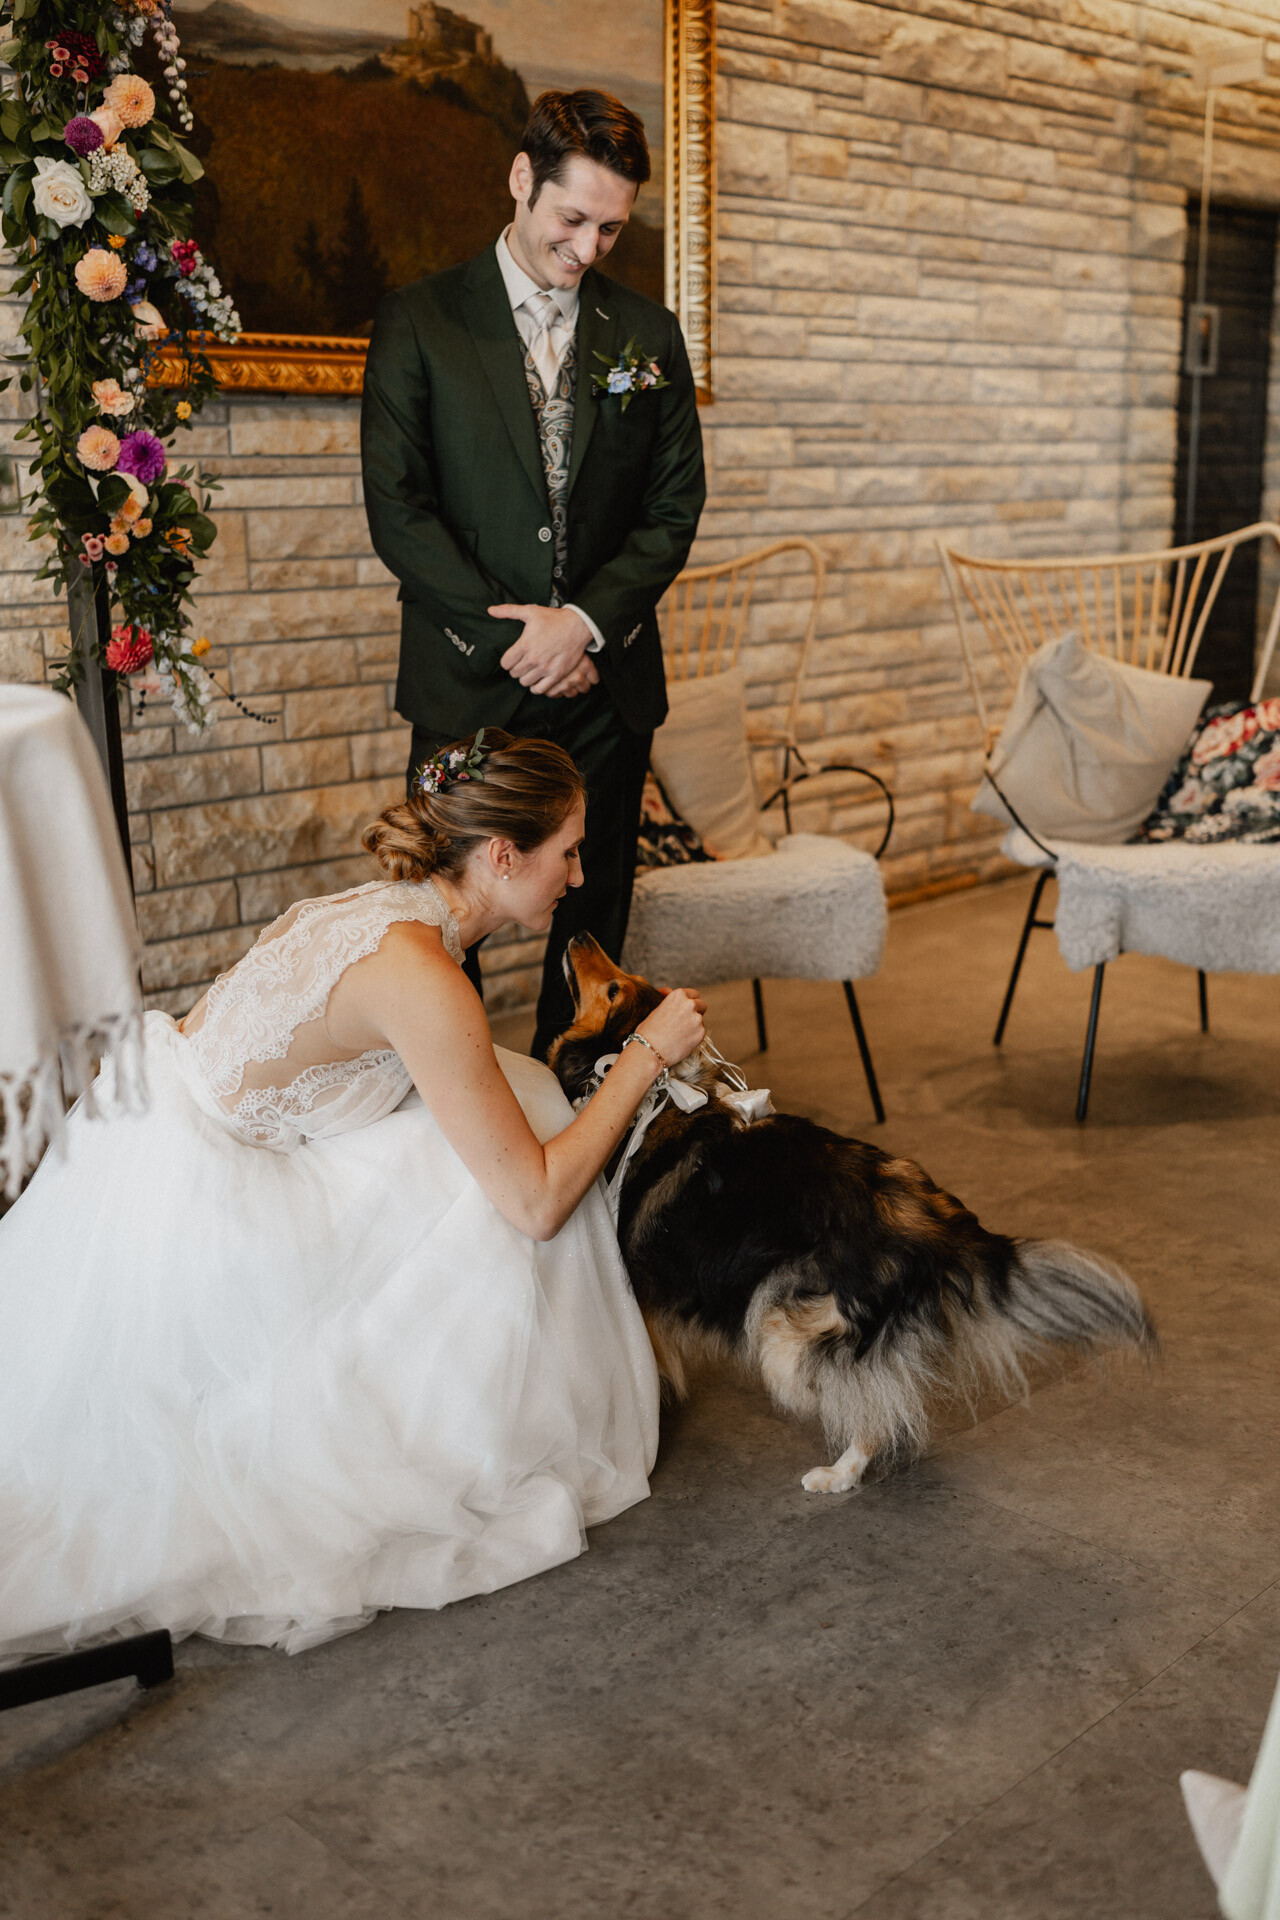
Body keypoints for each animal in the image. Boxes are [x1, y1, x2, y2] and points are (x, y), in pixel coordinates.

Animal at [552, 936, 1159, 1489]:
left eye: (615, 988)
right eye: (624, 974)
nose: (579, 934)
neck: (643, 1089)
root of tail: (932, 1218)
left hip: (788, 1331)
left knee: (871, 1407)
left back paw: (836, 1475)